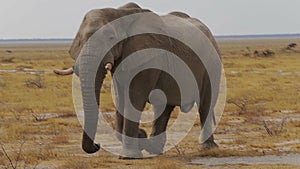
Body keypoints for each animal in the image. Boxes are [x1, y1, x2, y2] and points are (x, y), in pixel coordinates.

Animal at [54, 2, 223, 158]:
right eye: (80, 41)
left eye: (111, 38)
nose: (97, 144)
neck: (118, 13)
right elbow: (120, 99)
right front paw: (141, 136)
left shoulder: (148, 55)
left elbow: (134, 98)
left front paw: (130, 154)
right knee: (163, 107)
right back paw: (154, 148)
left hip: (212, 64)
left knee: (205, 103)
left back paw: (207, 147)